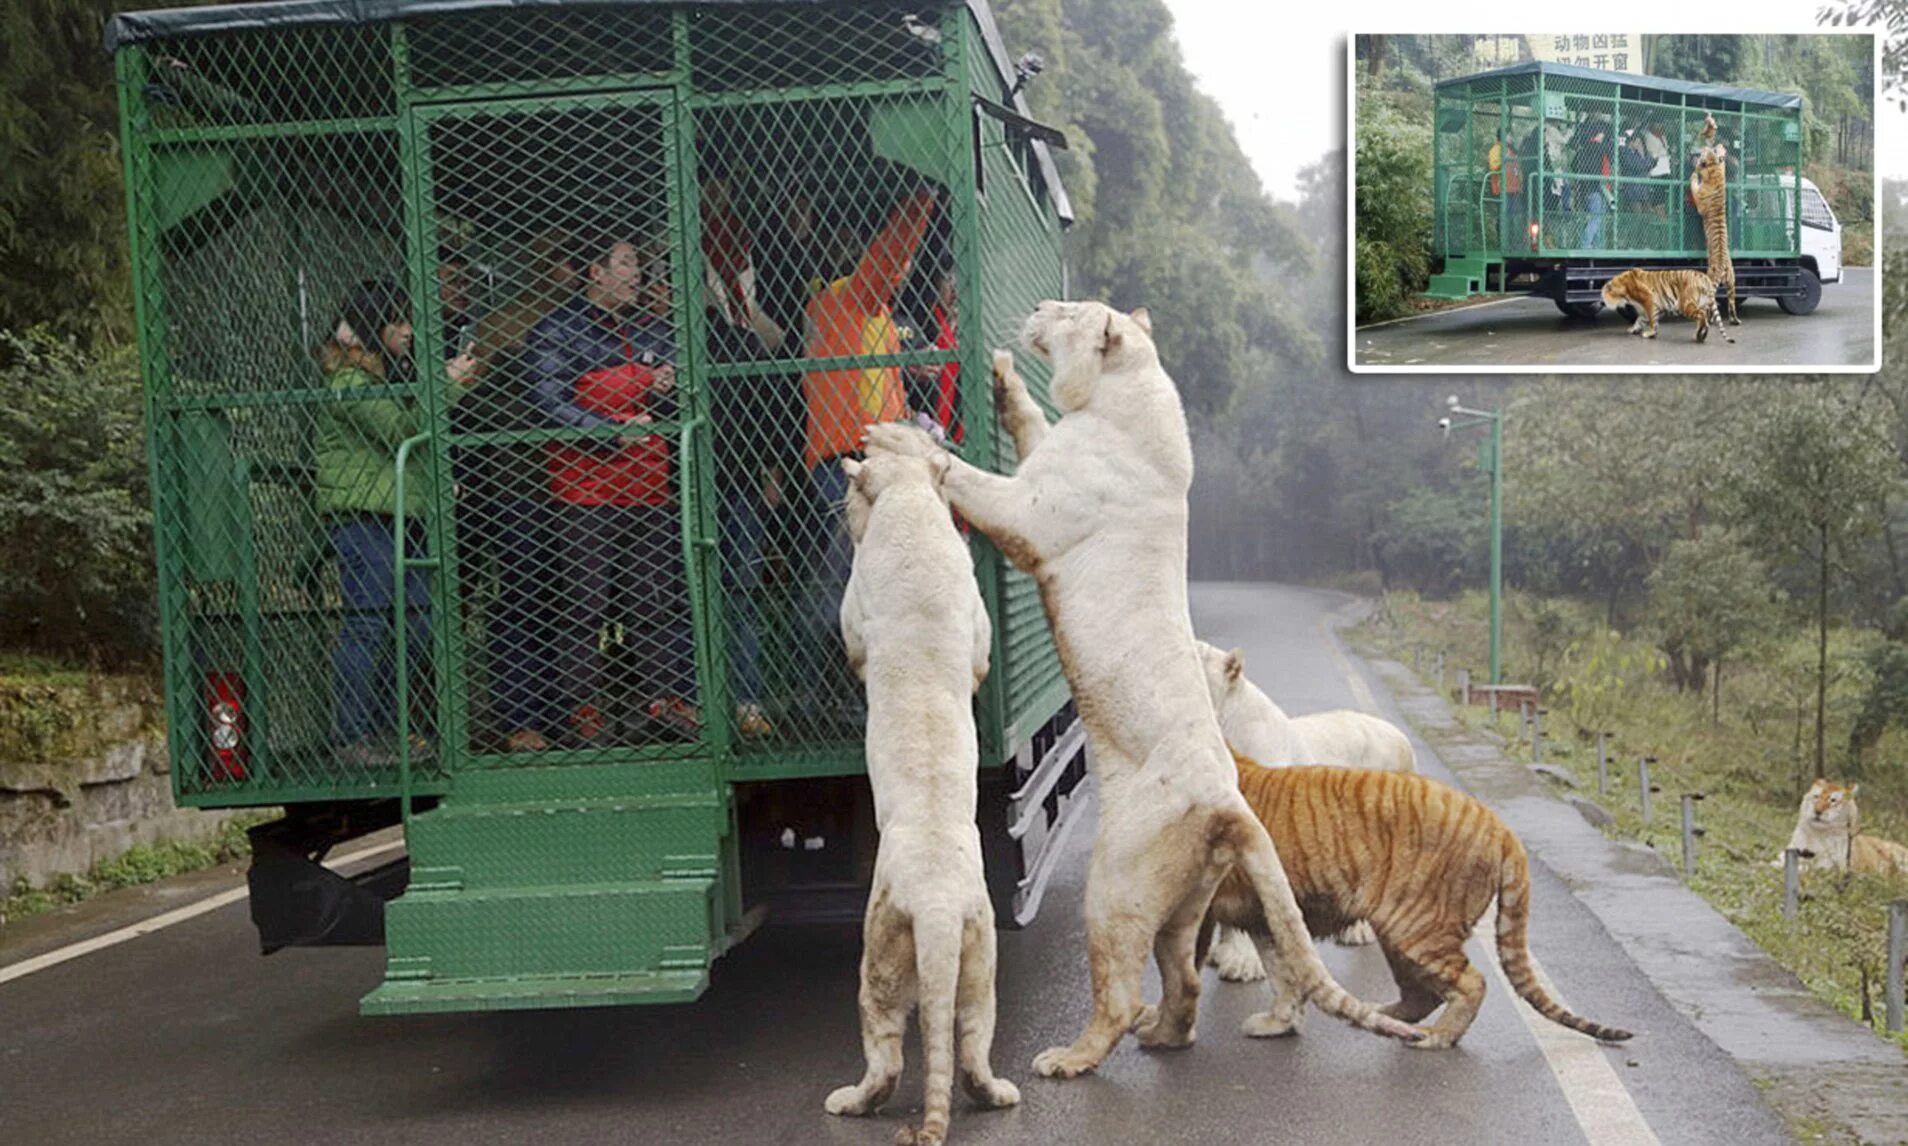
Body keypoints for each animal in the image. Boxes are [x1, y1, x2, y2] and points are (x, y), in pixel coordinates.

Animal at [828, 451, 1022, 1136]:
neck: (910, 500)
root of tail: (935, 905)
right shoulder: (975, 619)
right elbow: (981, 654)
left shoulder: (856, 610)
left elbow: (854, 644)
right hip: (981, 958)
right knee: (971, 1045)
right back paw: (1001, 1095)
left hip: (879, 962)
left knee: (885, 1055)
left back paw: (847, 1102)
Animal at [1205, 755, 1640, 1052]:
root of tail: (1500, 826)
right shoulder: (1264, 916)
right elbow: (1284, 972)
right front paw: (1281, 1021)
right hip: (1401, 936)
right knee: (1422, 995)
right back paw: (1383, 1017)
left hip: (1416, 928)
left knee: (1472, 983)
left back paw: (1434, 1037)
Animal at [1602, 266, 1740, 343]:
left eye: (1603, 295)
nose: (1602, 302)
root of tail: (1704, 277)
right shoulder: (1649, 309)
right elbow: (1640, 320)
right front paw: (1633, 329)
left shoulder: (1649, 300)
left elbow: (1651, 320)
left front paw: (1650, 333)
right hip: (1702, 304)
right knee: (1704, 319)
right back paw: (1700, 335)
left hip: (1686, 304)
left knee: (1702, 317)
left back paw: (1699, 336)